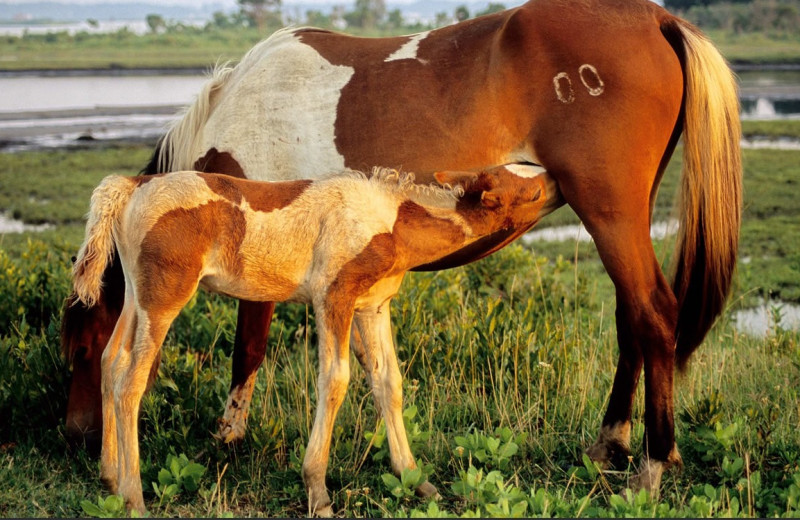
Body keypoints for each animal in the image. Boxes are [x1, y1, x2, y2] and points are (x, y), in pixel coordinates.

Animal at [72, 165, 552, 512]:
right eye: (530, 191)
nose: (557, 179)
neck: (389, 220)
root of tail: (132, 187)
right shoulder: (333, 296)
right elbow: (335, 380)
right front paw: (318, 492)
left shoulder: (373, 306)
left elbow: (388, 383)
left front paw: (417, 480)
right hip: (165, 296)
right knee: (131, 382)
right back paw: (134, 498)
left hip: (137, 295)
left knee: (111, 360)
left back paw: (110, 478)